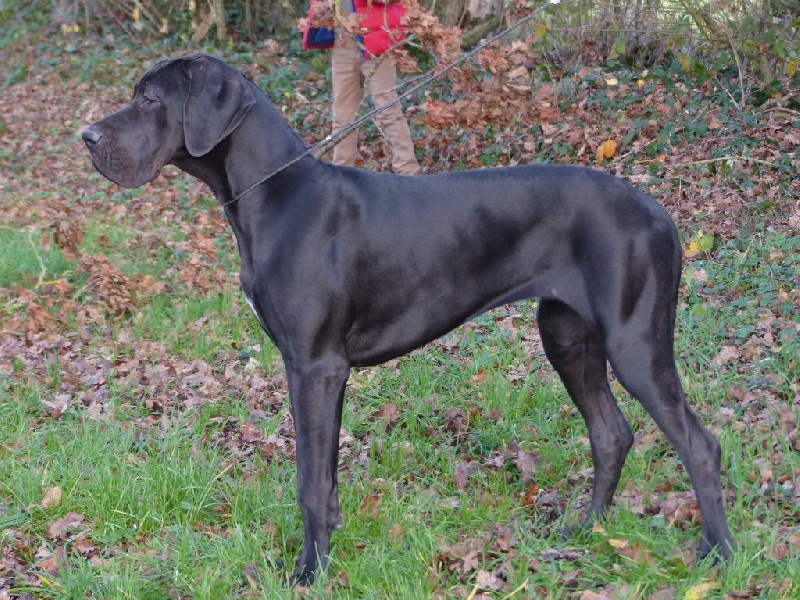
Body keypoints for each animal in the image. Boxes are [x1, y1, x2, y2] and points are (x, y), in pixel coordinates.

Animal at [83, 54, 732, 584]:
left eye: (150, 99)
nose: (85, 136)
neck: (275, 195)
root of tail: (662, 214)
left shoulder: (315, 367)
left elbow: (309, 481)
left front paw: (309, 573)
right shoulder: (319, 371)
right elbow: (326, 477)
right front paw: (328, 552)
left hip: (634, 342)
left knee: (699, 445)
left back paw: (717, 556)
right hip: (566, 335)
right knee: (610, 433)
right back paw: (585, 530)